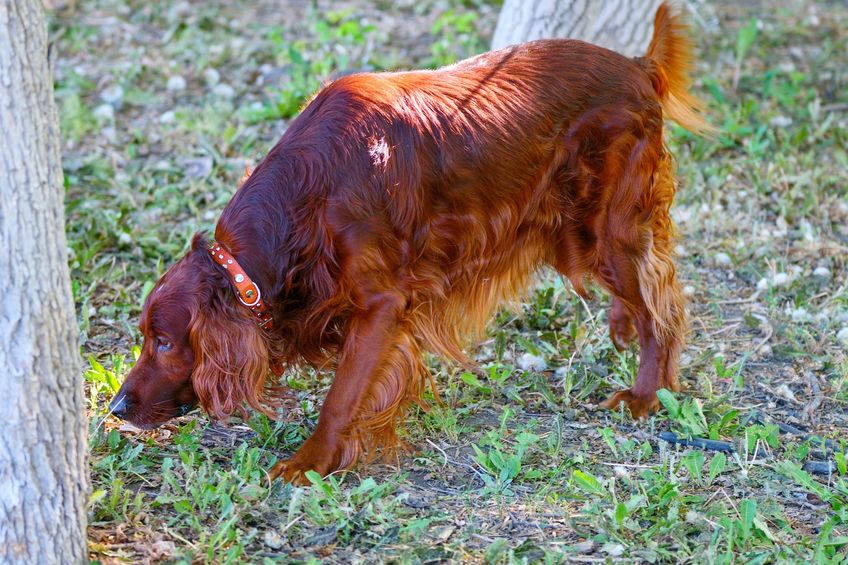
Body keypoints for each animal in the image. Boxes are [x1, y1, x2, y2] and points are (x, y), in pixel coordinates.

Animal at [107, 2, 716, 482]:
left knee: (661, 309)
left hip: (600, 232)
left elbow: (341, 397)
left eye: (164, 342)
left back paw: (646, 394)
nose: (115, 407)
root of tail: (637, 66)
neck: (306, 200)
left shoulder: (380, 305)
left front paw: (309, 462)